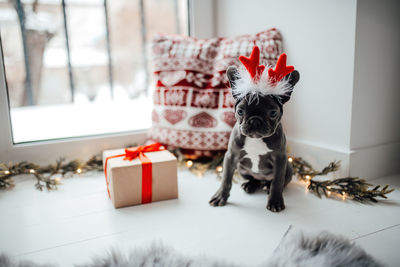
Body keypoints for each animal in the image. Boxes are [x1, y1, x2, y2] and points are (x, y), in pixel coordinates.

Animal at [209, 49, 300, 214]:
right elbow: (226, 179)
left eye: (273, 113)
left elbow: (277, 182)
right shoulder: (231, 156)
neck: (256, 139)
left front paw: (275, 201)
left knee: (276, 182)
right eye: (240, 111)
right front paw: (220, 196)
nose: (255, 120)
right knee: (254, 179)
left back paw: (266, 187)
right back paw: (250, 185)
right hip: (241, 168)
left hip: (288, 168)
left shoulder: (280, 159)